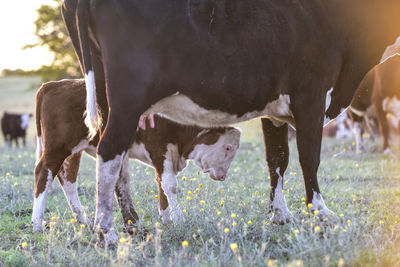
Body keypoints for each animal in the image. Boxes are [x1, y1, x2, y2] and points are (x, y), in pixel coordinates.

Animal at [31, 78, 241, 233]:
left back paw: (83, 220)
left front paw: (166, 219)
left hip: (74, 150)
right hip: (58, 147)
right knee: (43, 173)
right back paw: (36, 224)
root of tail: (53, 85)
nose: (223, 176)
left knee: (68, 178)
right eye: (228, 148)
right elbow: (169, 185)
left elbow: (161, 184)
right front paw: (179, 219)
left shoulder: (166, 156)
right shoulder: (160, 149)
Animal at [63, 0, 400, 244]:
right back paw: (105, 231)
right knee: (109, 151)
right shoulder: (311, 97)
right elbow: (309, 159)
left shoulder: (275, 109)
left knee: (117, 161)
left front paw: (279, 215)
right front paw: (320, 213)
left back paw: (132, 225)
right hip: (128, 98)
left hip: (106, 96)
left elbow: (278, 159)